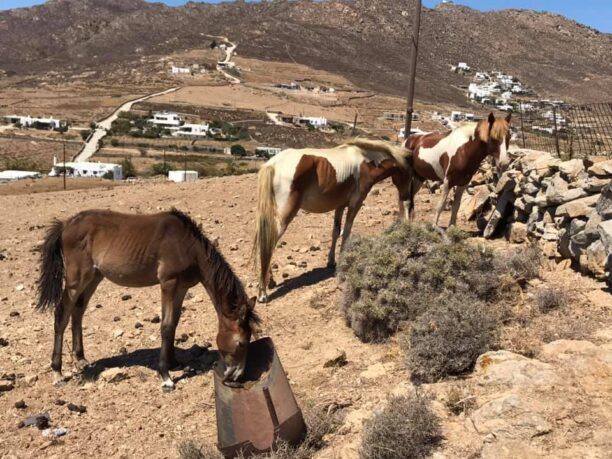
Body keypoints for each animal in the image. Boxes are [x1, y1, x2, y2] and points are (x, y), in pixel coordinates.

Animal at [36, 208, 256, 392]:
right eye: (241, 343)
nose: (237, 376)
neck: (188, 246)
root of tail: (66, 224)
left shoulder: (182, 287)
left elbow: (174, 324)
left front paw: (173, 363)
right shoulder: (168, 283)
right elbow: (166, 326)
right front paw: (165, 376)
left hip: (94, 278)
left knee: (78, 311)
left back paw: (80, 358)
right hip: (76, 280)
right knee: (62, 314)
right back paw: (57, 372)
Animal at [251, 140, 414, 306]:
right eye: (410, 174)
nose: (407, 198)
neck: (366, 162)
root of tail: (272, 164)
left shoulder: (340, 205)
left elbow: (336, 231)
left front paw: (332, 262)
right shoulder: (355, 203)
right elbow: (346, 231)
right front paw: (342, 262)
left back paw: (270, 282)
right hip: (285, 216)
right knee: (269, 242)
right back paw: (263, 292)